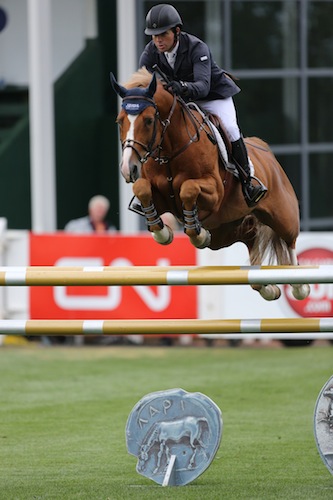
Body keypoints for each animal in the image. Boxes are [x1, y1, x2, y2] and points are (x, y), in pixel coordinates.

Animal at [110, 66, 310, 300]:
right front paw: (164, 232)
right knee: (252, 245)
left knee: (290, 242)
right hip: (227, 231)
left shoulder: (214, 192)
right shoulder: (158, 195)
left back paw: (300, 286)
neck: (170, 150)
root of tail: (267, 152)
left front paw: (197, 233)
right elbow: (142, 189)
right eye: (119, 121)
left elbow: (188, 189)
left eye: (149, 120)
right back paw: (267, 287)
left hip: (282, 215)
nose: (128, 168)